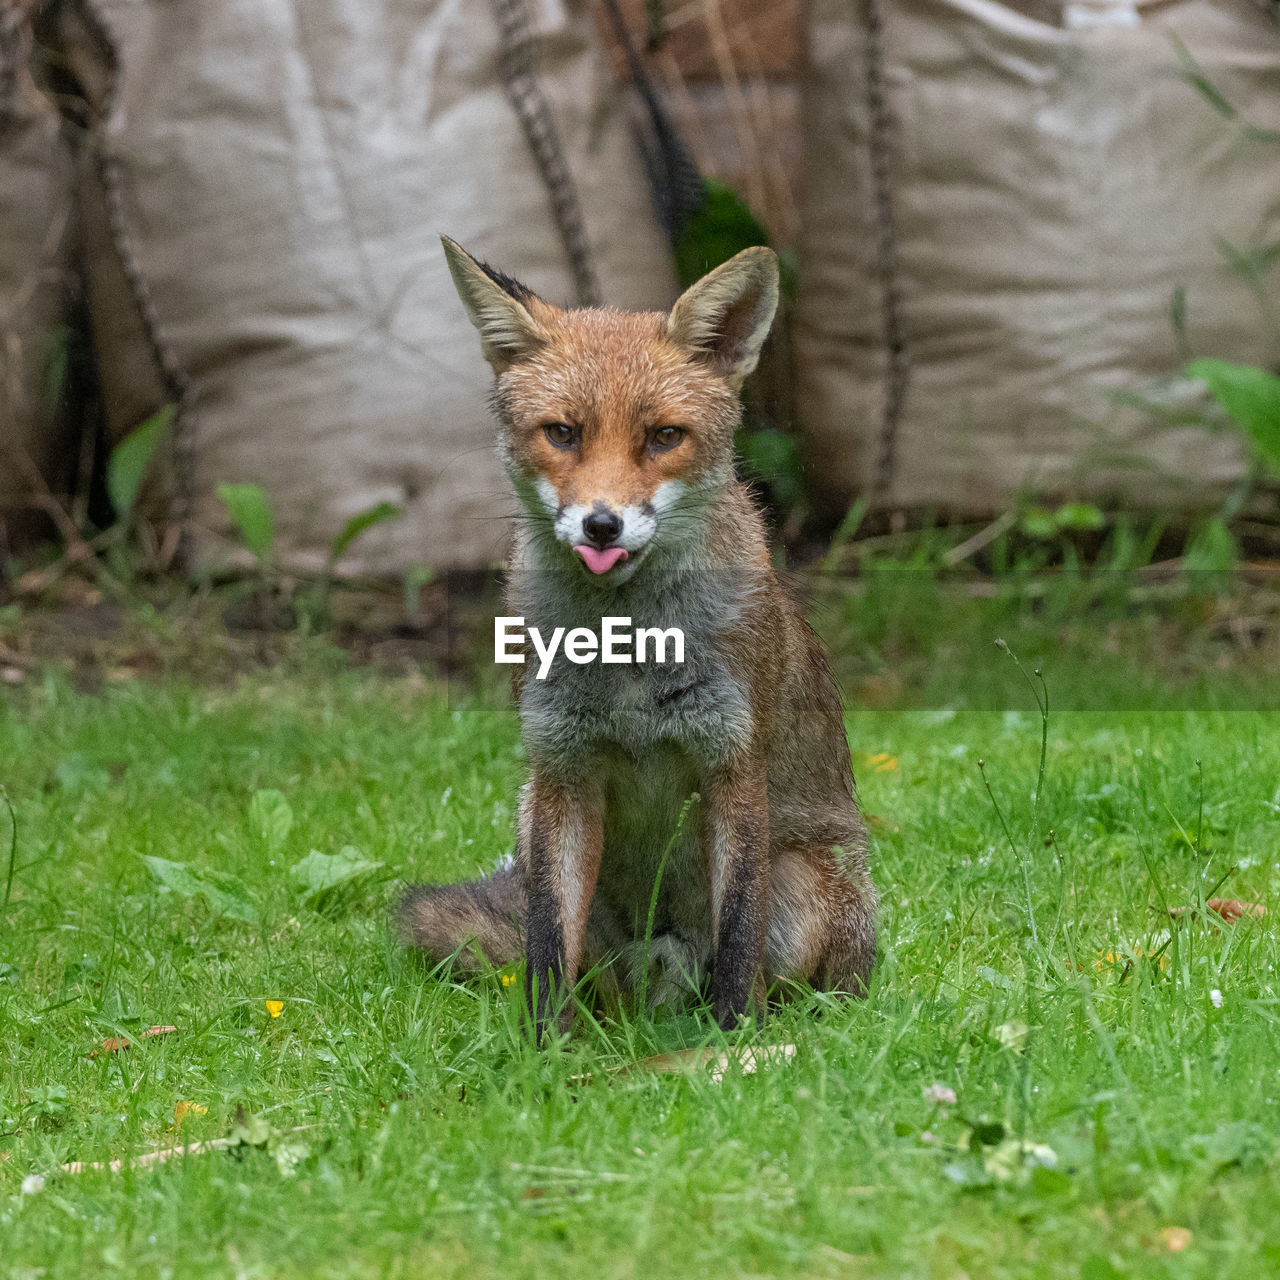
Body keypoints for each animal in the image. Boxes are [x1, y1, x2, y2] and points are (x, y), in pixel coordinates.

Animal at [396, 238, 880, 1039]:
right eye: (563, 433)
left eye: (664, 438)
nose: (602, 525)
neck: (628, 654)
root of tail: (664, 977)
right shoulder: (563, 770)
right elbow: (544, 945)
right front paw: (542, 1054)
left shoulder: (731, 765)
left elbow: (738, 934)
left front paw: (735, 1043)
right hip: (531, 828)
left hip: (805, 890)